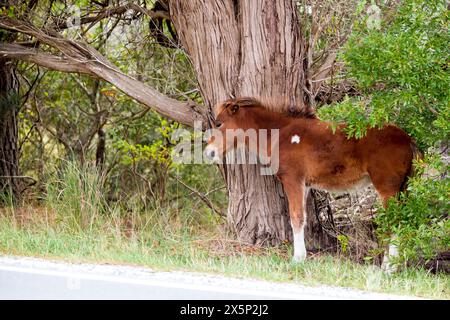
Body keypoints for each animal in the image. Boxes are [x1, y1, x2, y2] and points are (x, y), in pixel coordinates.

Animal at [206, 96, 420, 266]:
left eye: (219, 123)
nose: (209, 152)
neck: (281, 134)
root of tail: (408, 140)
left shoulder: (292, 180)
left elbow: (296, 217)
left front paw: (297, 258)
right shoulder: (305, 185)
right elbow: (303, 217)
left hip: (387, 188)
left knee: (394, 222)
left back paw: (388, 267)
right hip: (403, 188)